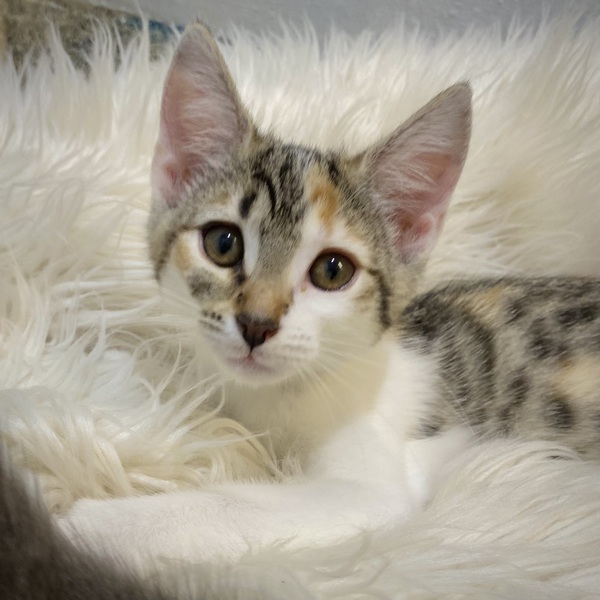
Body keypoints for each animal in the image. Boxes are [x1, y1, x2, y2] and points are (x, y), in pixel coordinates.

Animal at [58, 21, 600, 568]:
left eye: (333, 271)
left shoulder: (372, 485)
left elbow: (235, 504)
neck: (276, 398)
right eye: (223, 244)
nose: (256, 324)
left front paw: (87, 521)